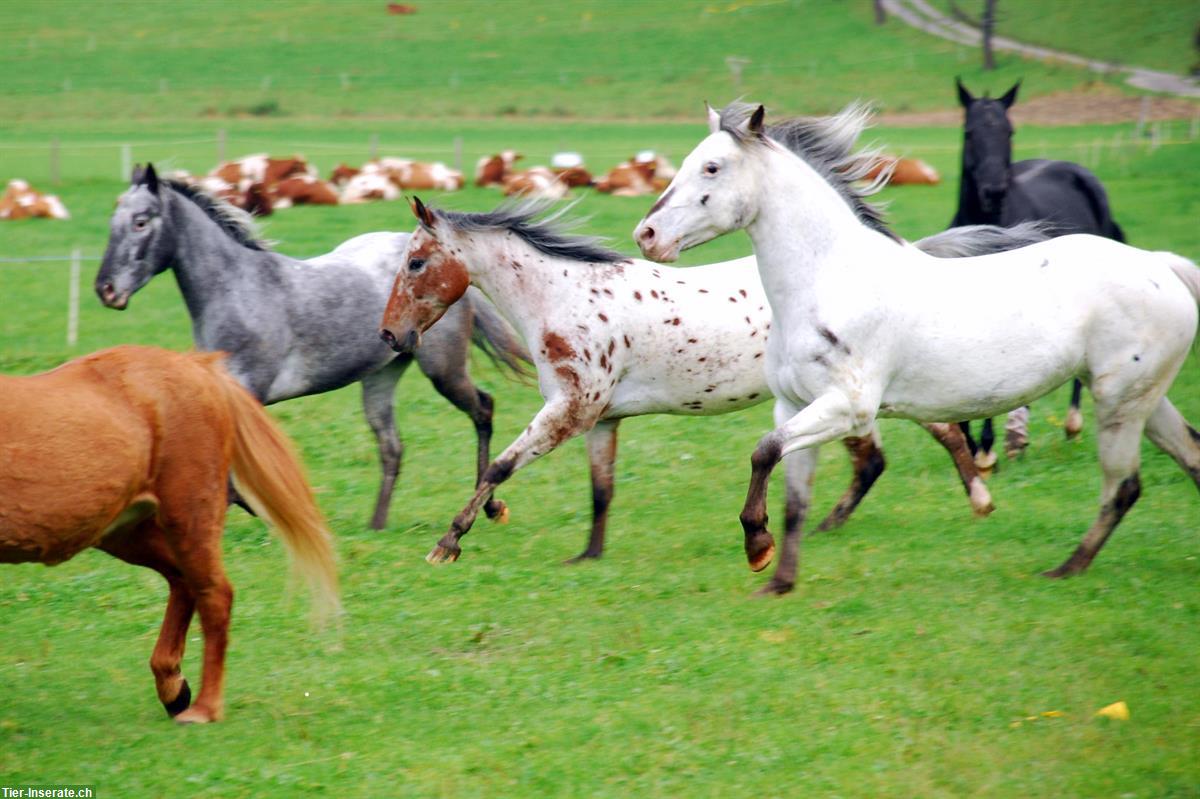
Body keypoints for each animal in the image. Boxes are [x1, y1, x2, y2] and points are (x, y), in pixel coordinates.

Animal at [1, 343, 338, 719]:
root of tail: (197, 366)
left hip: (186, 518)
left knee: (215, 594)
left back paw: (204, 708)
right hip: (126, 533)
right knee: (183, 581)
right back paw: (173, 688)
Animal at [92, 165, 525, 527]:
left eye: (141, 222)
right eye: (112, 222)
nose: (106, 290)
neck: (241, 292)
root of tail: (460, 271)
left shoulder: (250, 391)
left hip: (443, 369)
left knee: (483, 409)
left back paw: (489, 507)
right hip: (382, 375)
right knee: (392, 446)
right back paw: (376, 524)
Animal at [379, 199, 1046, 590]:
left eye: (415, 262)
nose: (389, 334)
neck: (563, 295)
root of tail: (908, 255)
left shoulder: (569, 409)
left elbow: (499, 465)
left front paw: (449, 542)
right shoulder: (600, 418)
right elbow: (601, 489)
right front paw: (587, 557)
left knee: (929, 435)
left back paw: (978, 497)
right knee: (875, 457)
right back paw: (830, 524)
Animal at [955, 76, 1123, 467]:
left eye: (1009, 131)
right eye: (969, 131)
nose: (994, 191)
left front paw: (987, 448)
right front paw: (976, 443)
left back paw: (1068, 424)